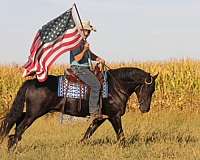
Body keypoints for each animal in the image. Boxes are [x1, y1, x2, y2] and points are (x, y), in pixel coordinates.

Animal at [0, 66, 158, 150]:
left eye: (153, 90)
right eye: (148, 88)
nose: (145, 108)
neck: (115, 87)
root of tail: (31, 82)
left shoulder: (101, 117)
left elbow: (89, 132)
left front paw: (80, 144)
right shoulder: (114, 116)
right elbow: (120, 134)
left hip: (30, 112)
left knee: (16, 123)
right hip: (34, 113)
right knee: (19, 128)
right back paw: (12, 148)